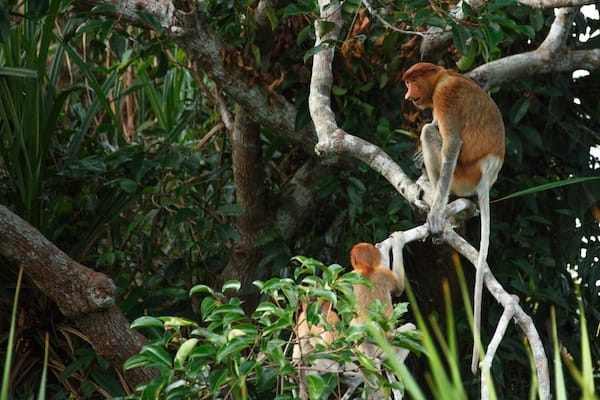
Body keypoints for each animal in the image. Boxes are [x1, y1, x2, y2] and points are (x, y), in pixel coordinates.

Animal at [400, 61, 504, 372]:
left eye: (413, 80)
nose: (408, 94)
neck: (443, 76)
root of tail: (487, 174)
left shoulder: (445, 96)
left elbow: (452, 145)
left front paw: (435, 216)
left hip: (464, 176)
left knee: (431, 134)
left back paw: (438, 199)